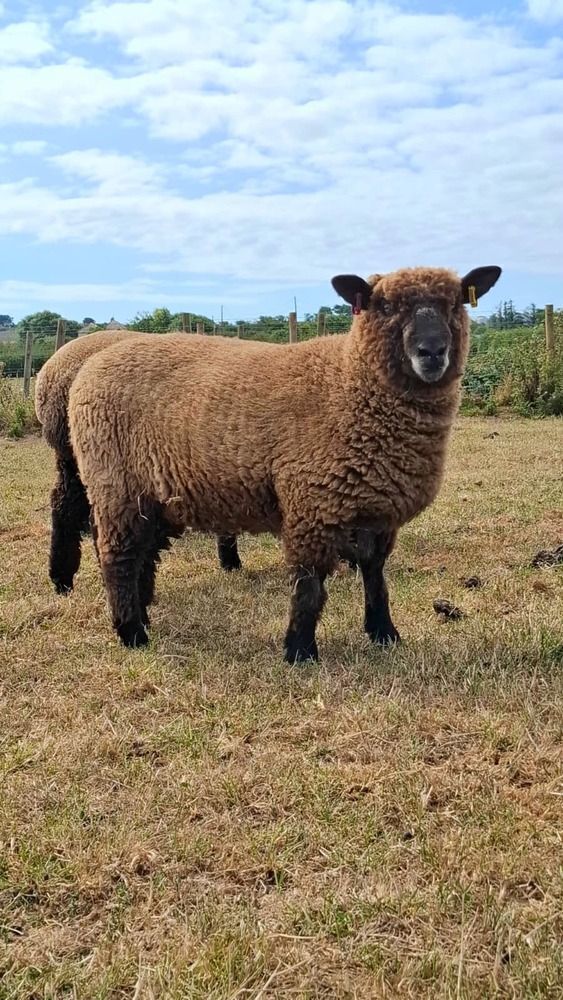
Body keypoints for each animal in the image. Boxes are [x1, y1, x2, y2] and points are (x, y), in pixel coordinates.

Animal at [68, 265, 501, 661]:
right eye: (386, 305)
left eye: (455, 303)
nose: (432, 352)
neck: (350, 384)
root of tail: (91, 365)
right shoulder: (312, 504)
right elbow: (308, 587)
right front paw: (300, 651)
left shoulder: (377, 511)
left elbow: (376, 577)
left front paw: (384, 634)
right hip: (115, 484)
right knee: (118, 556)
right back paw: (131, 634)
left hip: (152, 495)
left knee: (141, 555)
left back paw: (141, 618)